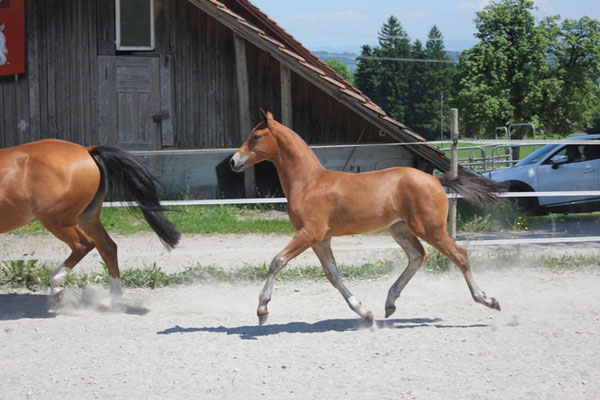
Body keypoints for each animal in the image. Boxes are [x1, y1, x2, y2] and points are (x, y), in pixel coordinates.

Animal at [0, 140, 179, 304]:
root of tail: (85, 150)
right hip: (87, 218)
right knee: (107, 248)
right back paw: (111, 301)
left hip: (56, 220)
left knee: (84, 245)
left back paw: (56, 286)